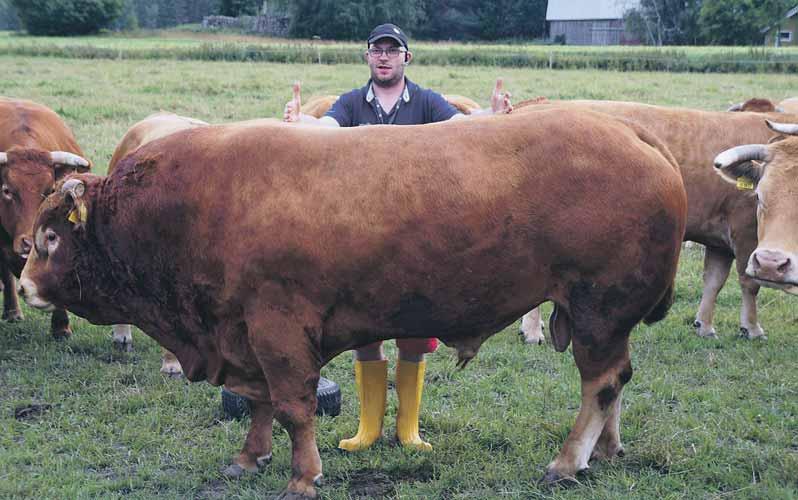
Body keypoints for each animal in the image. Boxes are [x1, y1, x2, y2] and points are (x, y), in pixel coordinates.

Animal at [516, 98, 792, 340]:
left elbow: (714, 281)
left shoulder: (719, 239)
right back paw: (532, 331)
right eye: (760, 195)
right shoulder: (746, 232)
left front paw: (704, 326)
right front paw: (751, 328)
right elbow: (750, 283)